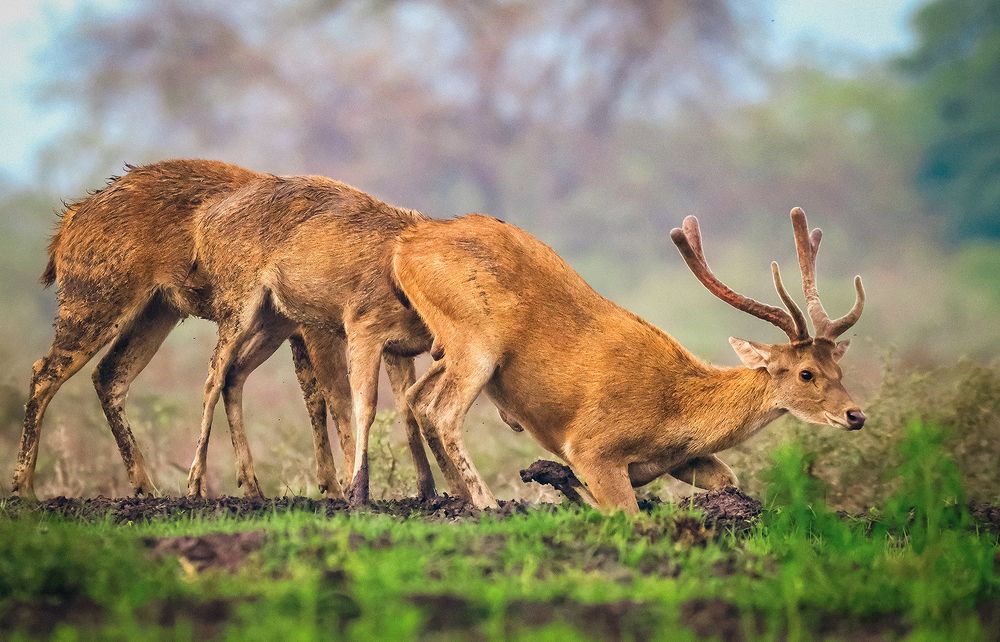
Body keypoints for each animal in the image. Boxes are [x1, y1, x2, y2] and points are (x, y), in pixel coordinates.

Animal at [10, 159, 436, 502]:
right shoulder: (319, 330)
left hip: (157, 312)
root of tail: (68, 222)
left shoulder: (324, 336)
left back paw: (149, 487)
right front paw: (348, 488)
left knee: (110, 375)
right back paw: (24, 489)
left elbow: (374, 405)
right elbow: (338, 401)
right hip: (96, 304)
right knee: (44, 372)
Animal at [391, 207, 865, 512]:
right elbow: (625, 512)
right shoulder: (591, 445)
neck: (675, 410)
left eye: (839, 369)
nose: (856, 414)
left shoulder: (683, 460)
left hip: (449, 346)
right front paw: (556, 481)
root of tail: (404, 245)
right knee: (443, 410)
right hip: (476, 339)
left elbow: (728, 479)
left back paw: (450, 497)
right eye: (806, 373)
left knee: (416, 398)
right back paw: (487, 503)